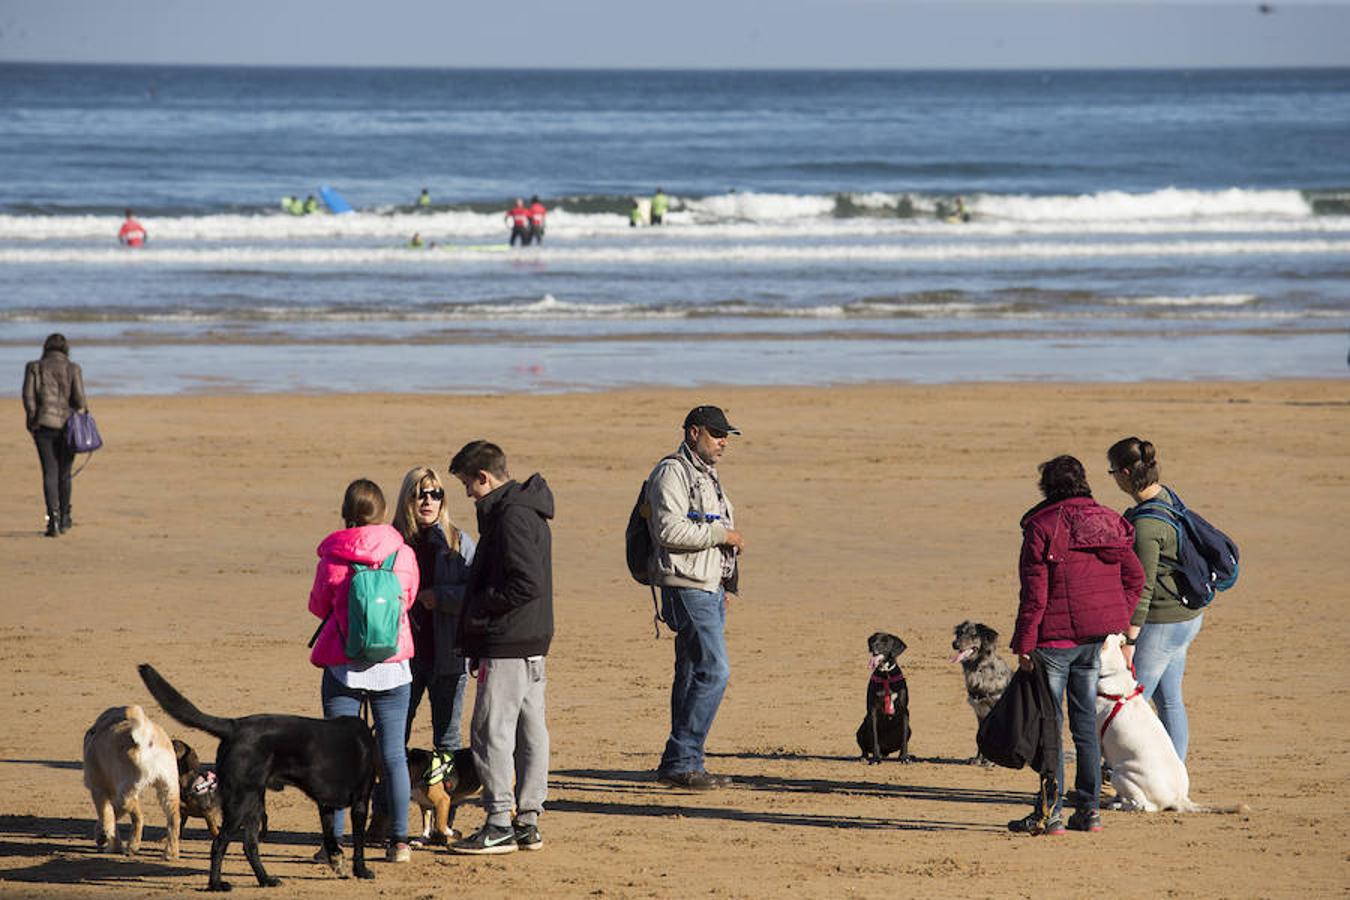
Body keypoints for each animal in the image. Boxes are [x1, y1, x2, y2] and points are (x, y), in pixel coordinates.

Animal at [137, 666, 378, 890]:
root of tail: (234, 726)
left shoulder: (325, 804)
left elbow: (330, 835)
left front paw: (337, 861)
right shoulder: (360, 801)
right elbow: (358, 842)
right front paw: (361, 870)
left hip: (253, 803)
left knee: (249, 846)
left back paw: (265, 880)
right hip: (241, 802)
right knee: (219, 843)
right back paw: (216, 884)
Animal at [858, 631, 912, 766]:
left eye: (885, 642)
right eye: (873, 640)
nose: (874, 646)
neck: (886, 674)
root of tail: (886, 751)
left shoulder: (904, 711)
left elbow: (904, 739)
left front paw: (905, 757)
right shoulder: (872, 712)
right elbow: (875, 737)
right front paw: (876, 759)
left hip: (910, 729)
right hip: (861, 729)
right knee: (865, 748)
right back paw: (864, 757)